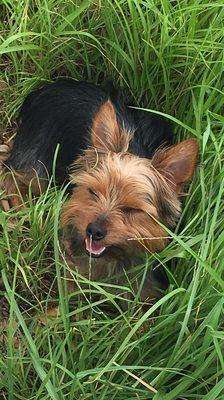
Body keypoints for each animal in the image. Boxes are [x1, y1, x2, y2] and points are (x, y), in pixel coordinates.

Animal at [1, 79, 198, 308]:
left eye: (132, 209)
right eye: (93, 192)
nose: (93, 230)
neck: (111, 258)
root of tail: (48, 88)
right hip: (37, 166)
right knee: (10, 175)